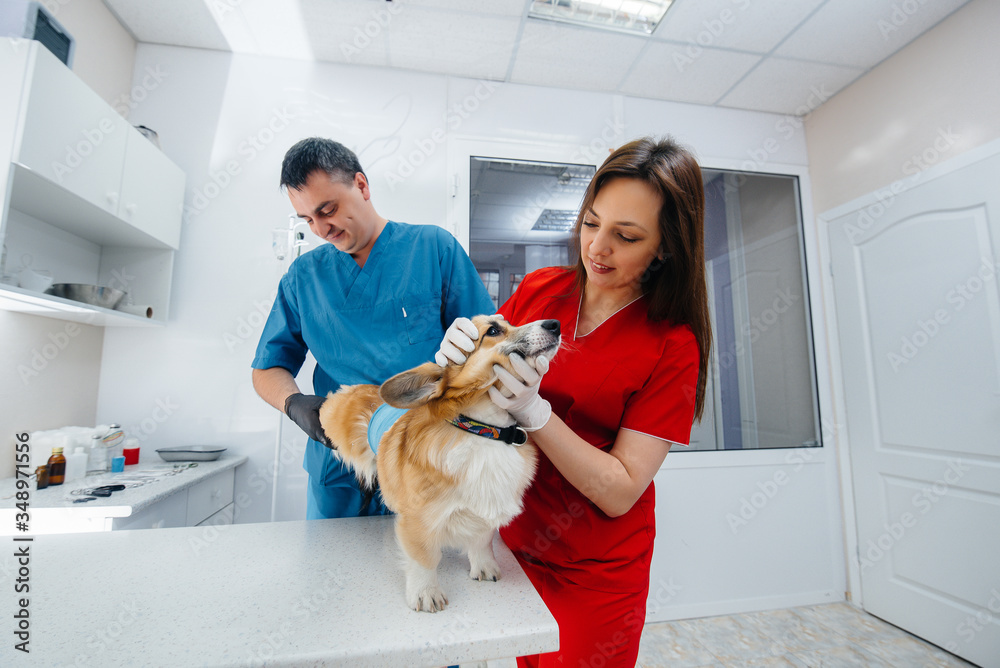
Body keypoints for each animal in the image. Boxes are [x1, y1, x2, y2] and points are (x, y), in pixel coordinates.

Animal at [318, 316, 560, 612]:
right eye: (493, 330)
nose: (555, 324)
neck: (482, 430)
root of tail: (369, 388)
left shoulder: (484, 511)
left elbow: (482, 541)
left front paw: (484, 567)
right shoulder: (418, 520)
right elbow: (424, 559)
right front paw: (426, 593)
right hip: (341, 422)